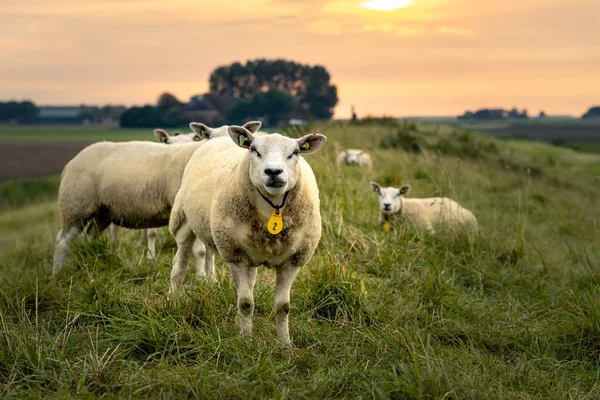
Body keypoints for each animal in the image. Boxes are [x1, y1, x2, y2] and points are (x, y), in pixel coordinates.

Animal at [52, 120, 264, 276]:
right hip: (75, 205)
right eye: (209, 138)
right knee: (62, 241)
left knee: (90, 235)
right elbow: (200, 251)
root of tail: (73, 160)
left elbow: (210, 252)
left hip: (101, 212)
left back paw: (92, 259)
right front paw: (201, 279)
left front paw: (211, 280)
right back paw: (56, 274)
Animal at [169, 124, 328, 344]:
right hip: (184, 221)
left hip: (252, 250)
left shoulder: (294, 260)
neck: (273, 209)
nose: (273, 171)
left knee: (249, 283)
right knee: (179, 269)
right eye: (254, 150)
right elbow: (245, 303)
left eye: (295, 152)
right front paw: (246, 341)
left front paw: (285, 344)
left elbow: (283, 307)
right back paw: (173, 304)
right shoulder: (235, 254)